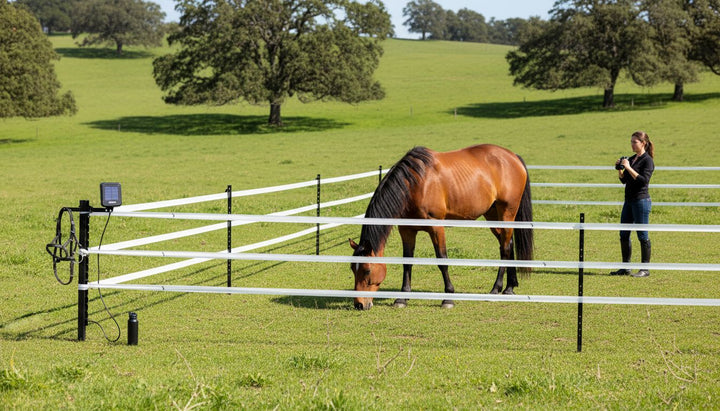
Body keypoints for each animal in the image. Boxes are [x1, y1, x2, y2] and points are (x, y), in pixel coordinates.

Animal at [349, 144, 534, 310]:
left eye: (367, 270)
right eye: (352, 268)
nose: (359, 304)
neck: (415, 184)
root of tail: (513, 156)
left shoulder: (436, 227)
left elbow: (442, 260)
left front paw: (448, 298)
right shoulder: (407, 229)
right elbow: (407, 262)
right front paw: (402, 298)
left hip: (507, 212)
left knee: (505, 248)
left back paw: (496, 288)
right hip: (492, 215)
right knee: (507, 245)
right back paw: (509, 287)